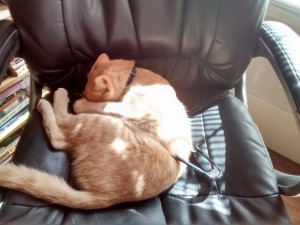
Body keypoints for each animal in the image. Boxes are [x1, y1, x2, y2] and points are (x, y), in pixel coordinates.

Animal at [0, 52, 192, 209]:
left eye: (86, 94)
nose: (81, 95)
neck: (133, 78)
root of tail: (108, 197)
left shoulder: (133, 110)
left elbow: (101, 106)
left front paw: (79, 103)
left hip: (100, 123)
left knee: (60, 132)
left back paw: (55, 98)